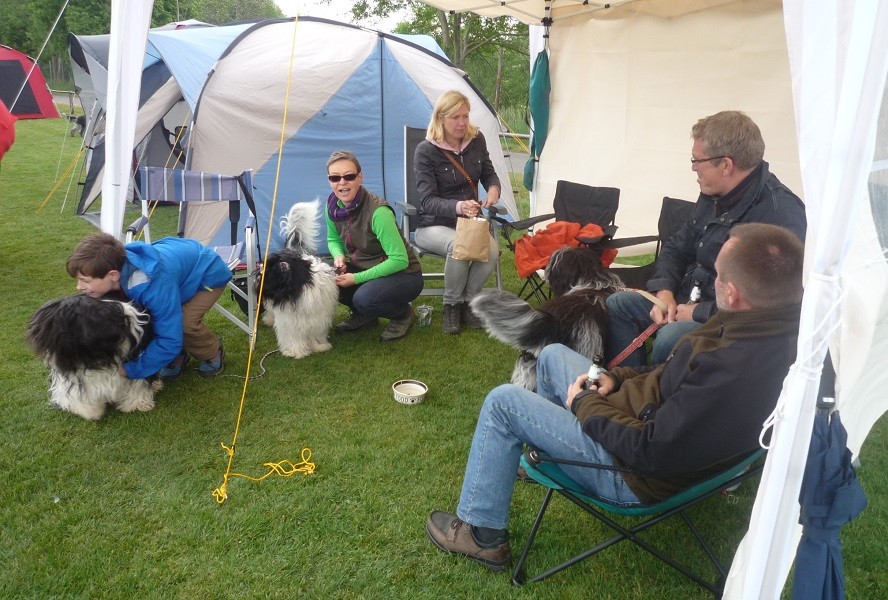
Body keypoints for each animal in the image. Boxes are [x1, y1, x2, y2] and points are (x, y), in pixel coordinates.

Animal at [258, 199, 342, 358]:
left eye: (267, 274)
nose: (256, 284)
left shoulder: (317, 316)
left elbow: (316, 332)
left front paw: (319, 346)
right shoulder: (289, 319)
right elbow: (293, 335)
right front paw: (296, 351)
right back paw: (269, 320)